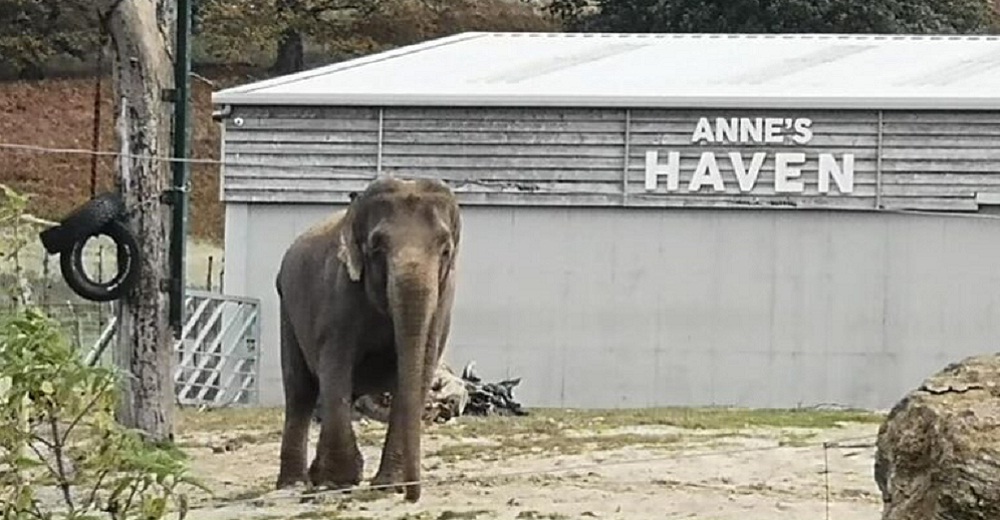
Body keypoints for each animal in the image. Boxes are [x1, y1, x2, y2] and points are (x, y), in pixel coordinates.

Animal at [274, 177, 460, 502]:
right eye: (376, 247)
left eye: (446, 249)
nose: (412, 496)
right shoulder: (338, 294)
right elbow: (335, 365)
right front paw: (338, 480)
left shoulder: (443, 299)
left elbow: (420, 368)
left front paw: (388, 485)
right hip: (287, 310)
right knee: (300, 391)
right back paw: (295, 484)